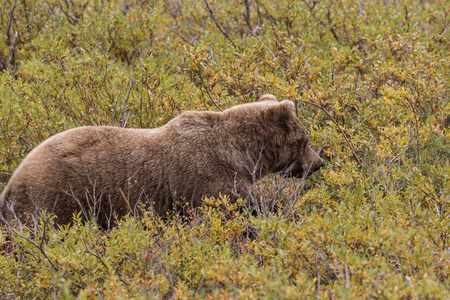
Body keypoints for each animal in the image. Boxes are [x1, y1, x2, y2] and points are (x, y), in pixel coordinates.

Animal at [0, 96, 324, 227]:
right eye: (306, 140)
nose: (318, 163)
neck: (243, 153)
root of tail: (13, 180)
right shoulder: (209, 176)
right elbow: (236, 206)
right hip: (58, 197)